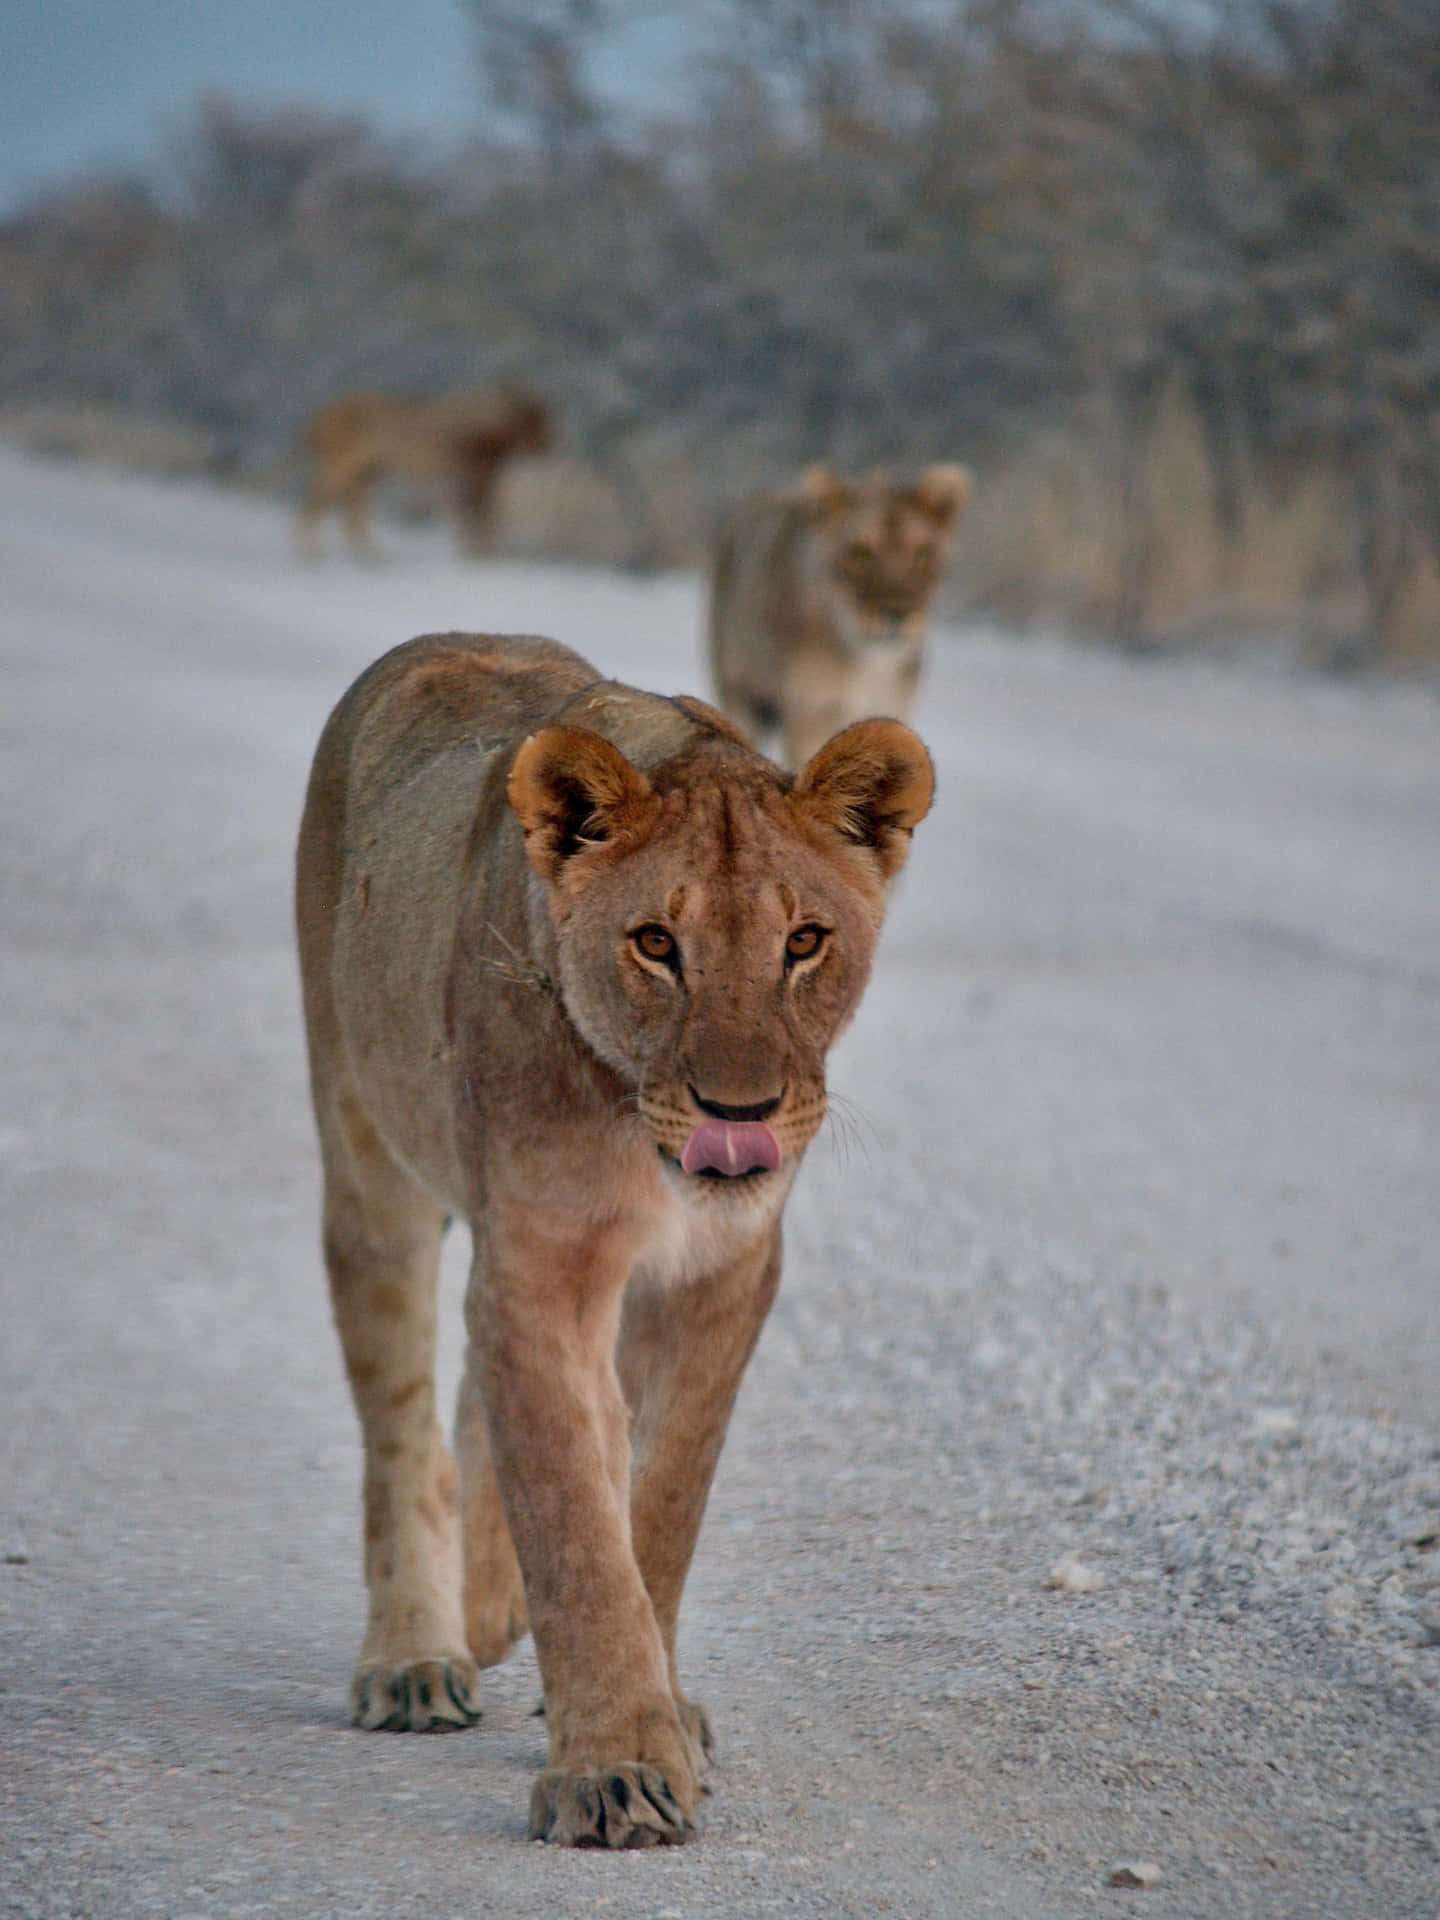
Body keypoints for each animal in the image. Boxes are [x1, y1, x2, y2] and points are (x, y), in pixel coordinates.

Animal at [297, 382, 552, 560]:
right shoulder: (472, 474)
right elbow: (478, 517)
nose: (547, 446)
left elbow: (478, 517)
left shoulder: (472, 477)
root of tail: (317, 416)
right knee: (316, 502)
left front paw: (479, 553)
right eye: (534, 422)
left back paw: (370, 557)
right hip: (342, 467)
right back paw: (311, 553)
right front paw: (480, 554)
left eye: (546, 421)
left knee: (350, 514)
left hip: (367, 473)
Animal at [706, 462, 971, 764]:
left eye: (922, 553)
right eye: (860, 552)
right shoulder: (811, 714)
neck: (867, 659)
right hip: (740, 692)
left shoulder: (890, 712)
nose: (897, 613)